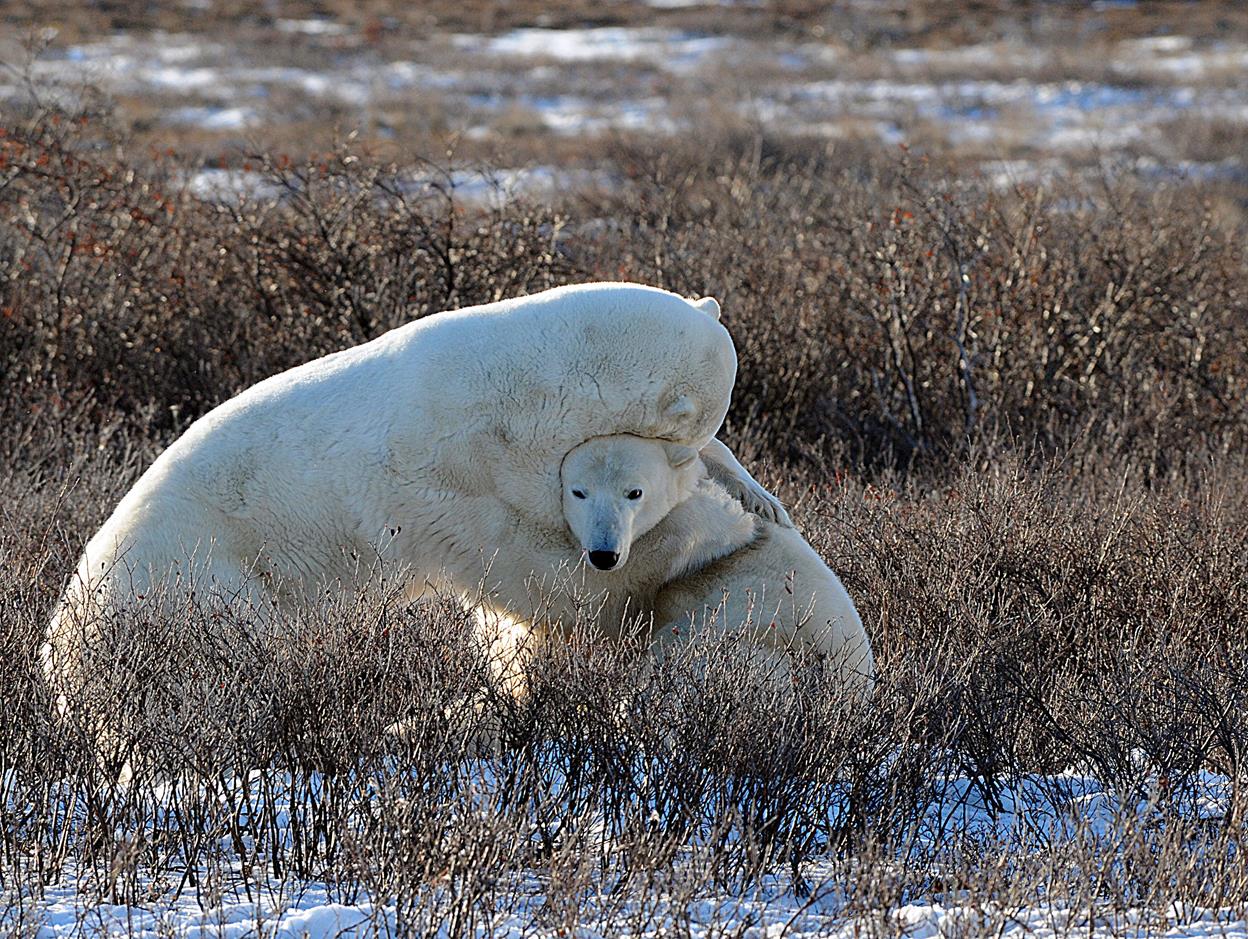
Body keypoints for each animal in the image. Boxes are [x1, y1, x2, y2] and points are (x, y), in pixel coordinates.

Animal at [51, 282, 788, 724]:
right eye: (707, 417)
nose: (700, 454)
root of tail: (61, 649)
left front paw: (759, 499)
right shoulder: (460, 464)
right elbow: (516, 558)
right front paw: (707, 528)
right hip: (201, 575)